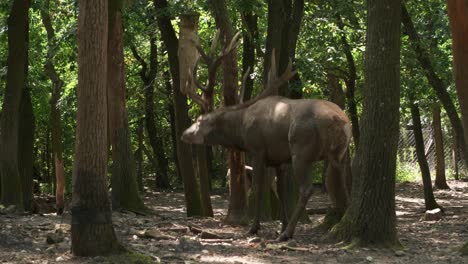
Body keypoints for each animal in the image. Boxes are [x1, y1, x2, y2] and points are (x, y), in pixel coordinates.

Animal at [179, 29, 352, 241]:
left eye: (199, 120)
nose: (184, 134)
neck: (241, 130)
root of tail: (341, 122)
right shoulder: (280, 158)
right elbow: (281, 190)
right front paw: (281, 223)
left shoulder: (258, 149)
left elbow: (258, 189)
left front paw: (254, 228)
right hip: (341, 153)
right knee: (344, 183)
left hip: (301, 149)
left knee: (307, 188)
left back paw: (287, 233)